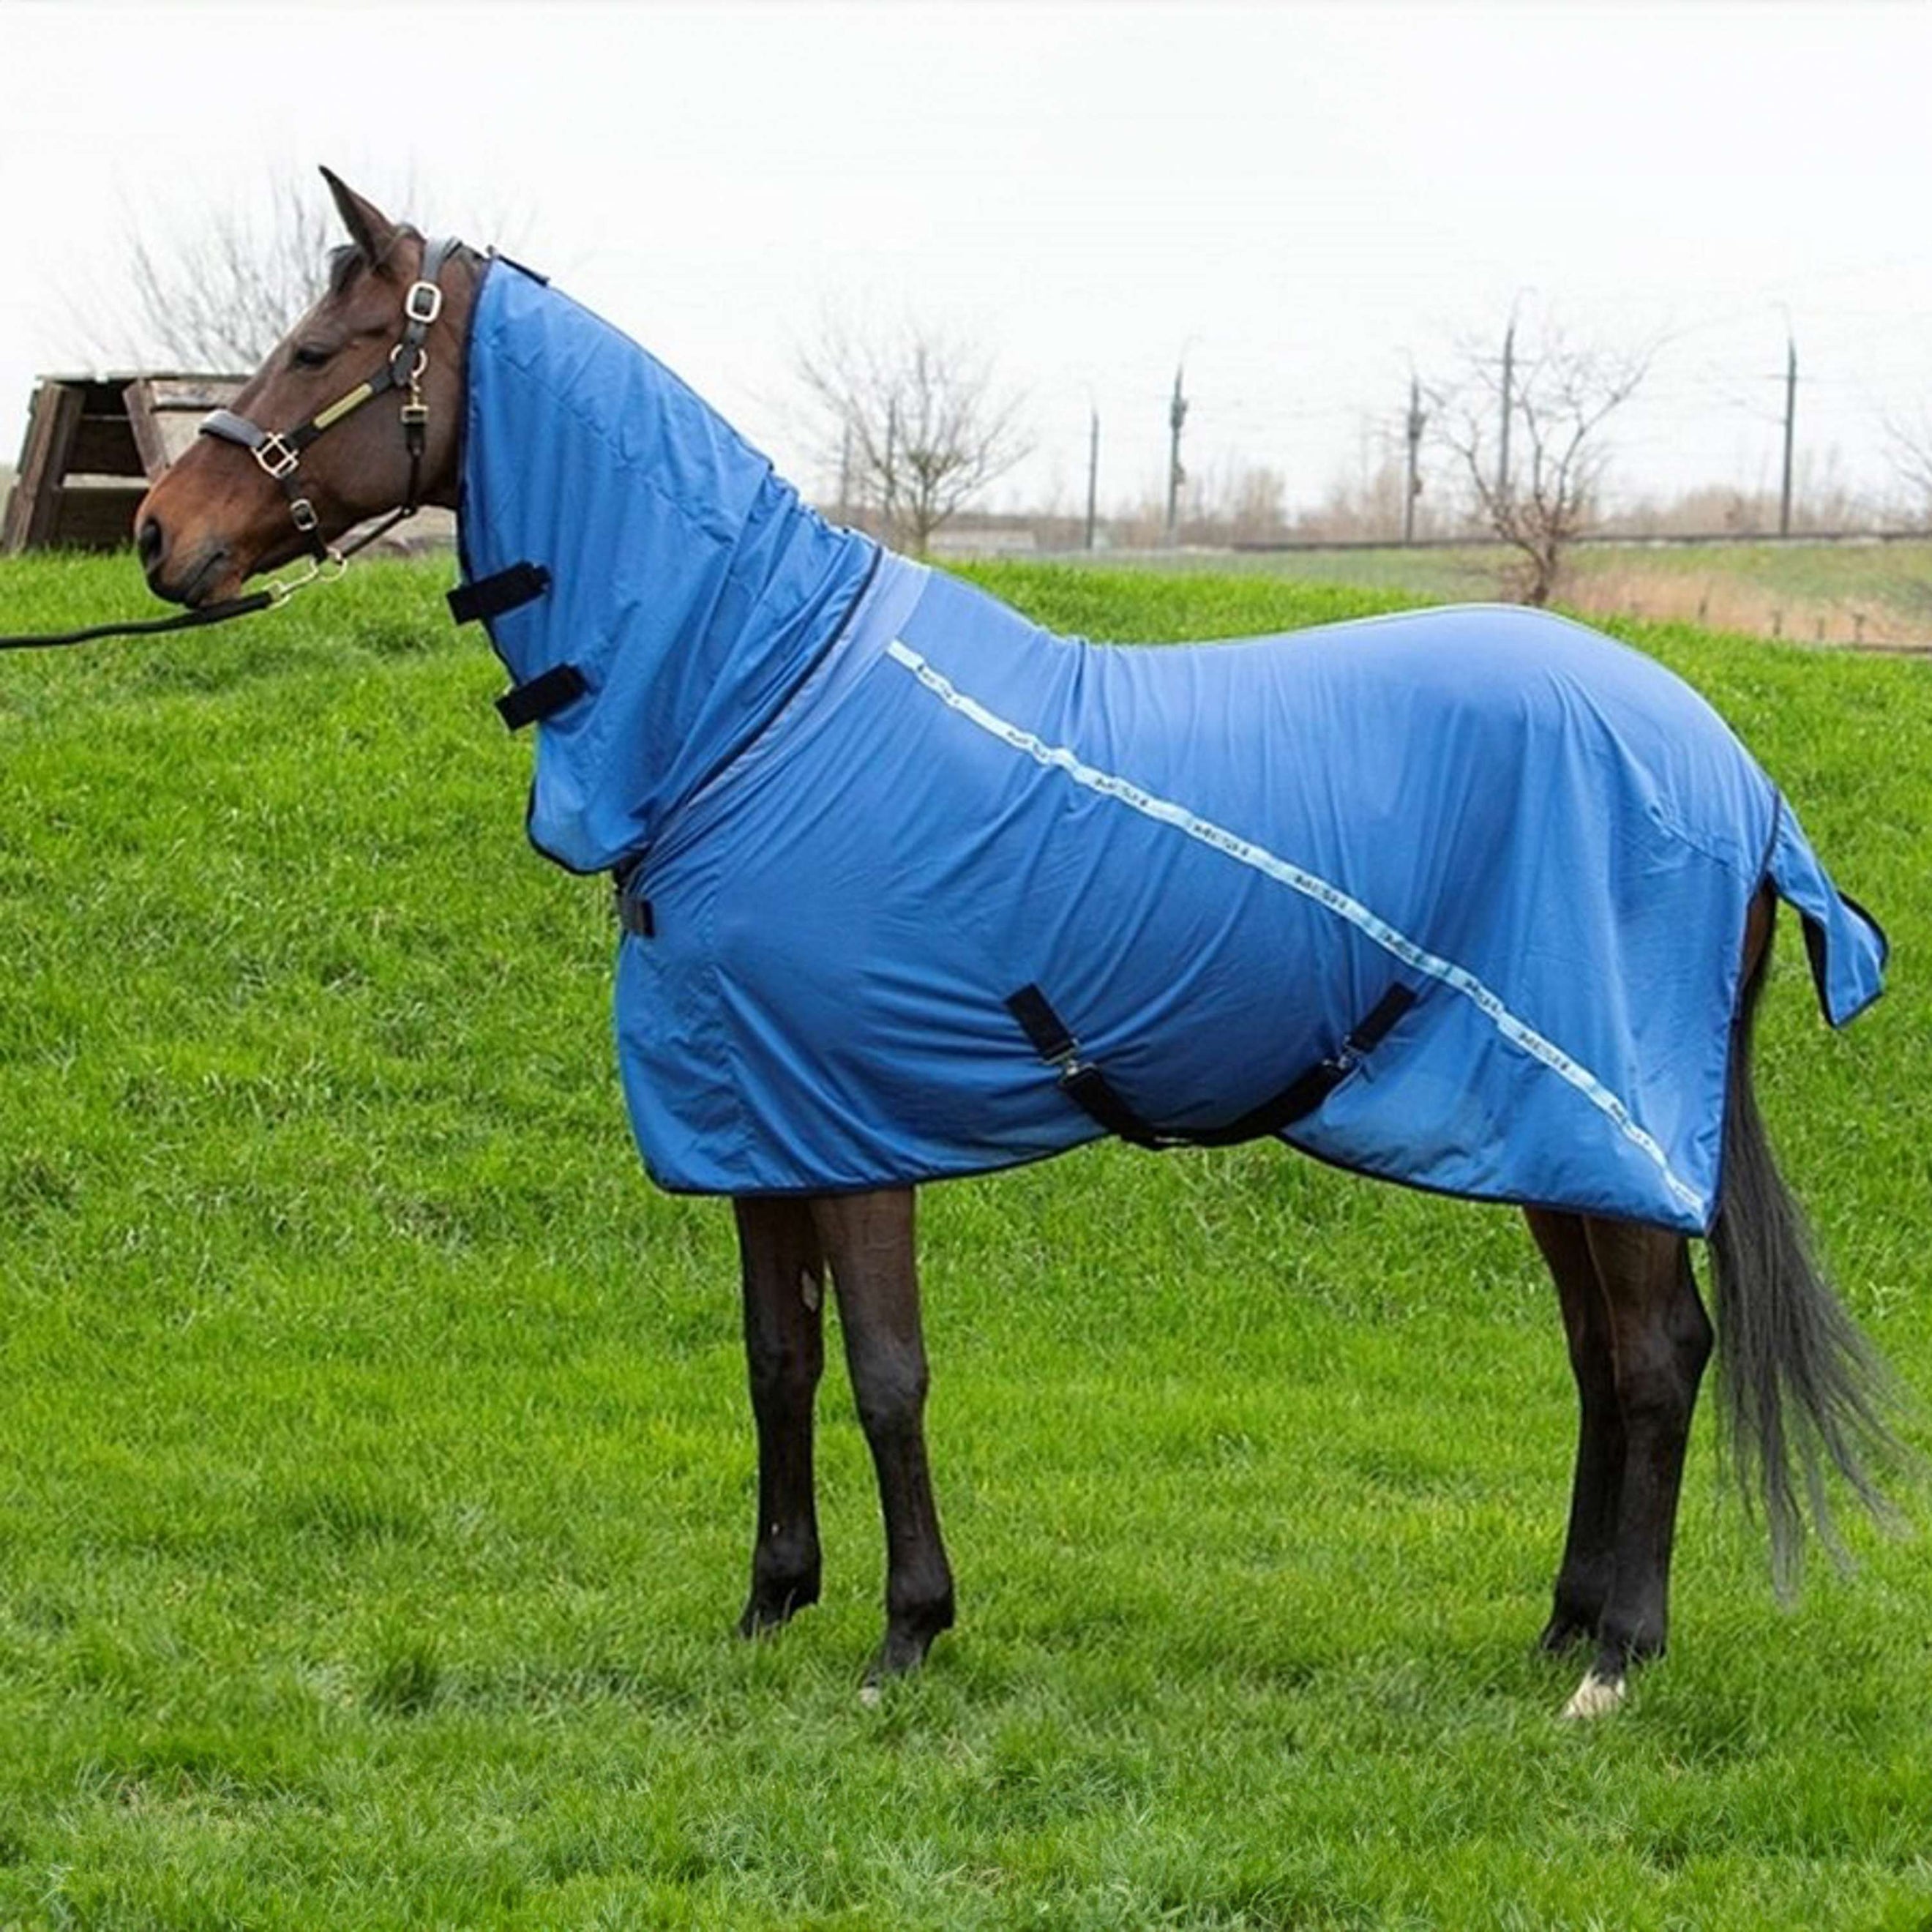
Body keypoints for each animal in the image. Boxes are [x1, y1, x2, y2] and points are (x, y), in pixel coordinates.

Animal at [132, 171, 1899, 1721]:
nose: (158, 533)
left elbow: (885, 1373)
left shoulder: (852, 1128)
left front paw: (906, 1635)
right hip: (1545, 1135)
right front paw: (771, 1606)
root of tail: (1737, 781)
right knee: (1602, 1359)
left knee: (1659, 1354)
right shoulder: (756, 1121)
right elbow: (778, 1361)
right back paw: (1561, 1628)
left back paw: (1620, 1662)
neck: (758, 697)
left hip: (1602, 1117)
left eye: (323, 348)